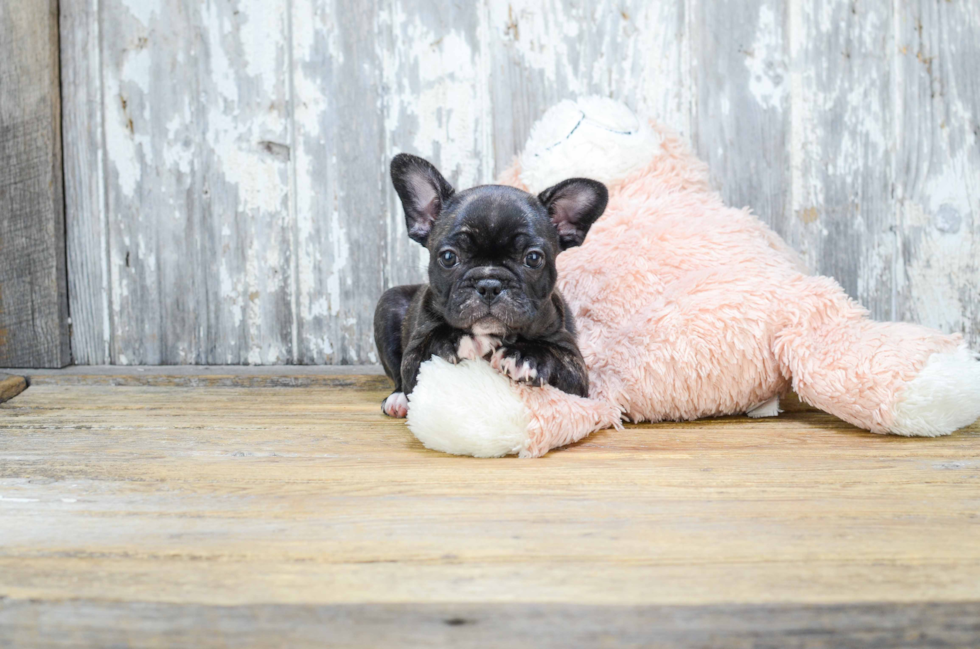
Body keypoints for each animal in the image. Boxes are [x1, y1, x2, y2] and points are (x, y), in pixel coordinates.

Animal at [374, 153, 604, 418]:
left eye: (533, 258)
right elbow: (423, 349)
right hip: (389, 302)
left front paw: (526, 355)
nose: (489, 284)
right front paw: (461, 338)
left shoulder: (576, 371)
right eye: (448, 257)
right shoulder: (414, 358)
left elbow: (557, 356)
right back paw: (397, 400)